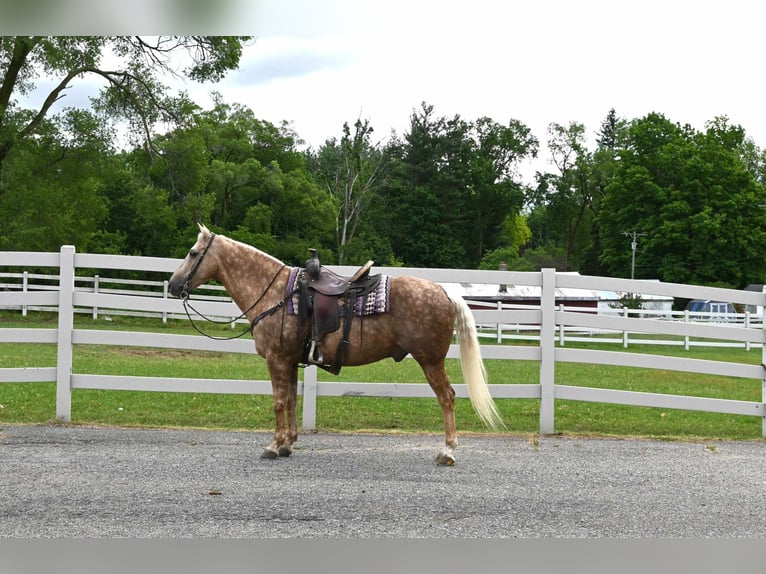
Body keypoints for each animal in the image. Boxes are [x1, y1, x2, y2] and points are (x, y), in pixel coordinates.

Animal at [168, 223, 504, 466]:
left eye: (193, 253)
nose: (172, 284)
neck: (276, 293)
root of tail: (446, 292)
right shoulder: (291, 361)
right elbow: (291, 400)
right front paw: (288, 443)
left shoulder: (276, 359)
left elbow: (278, 402)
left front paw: (273, 446)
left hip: (430, 360)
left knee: (447, 397)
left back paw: (447, 451)